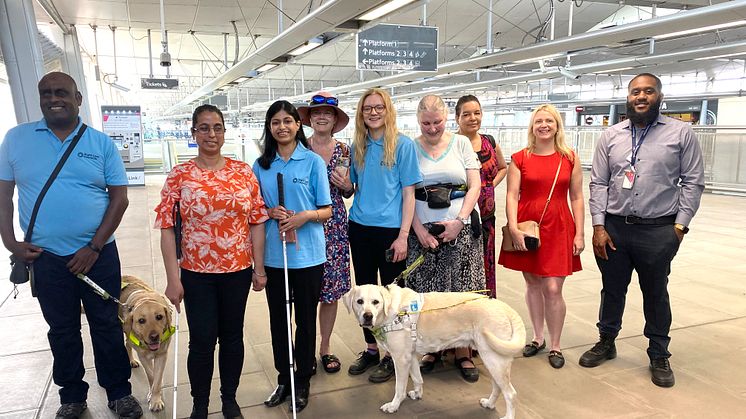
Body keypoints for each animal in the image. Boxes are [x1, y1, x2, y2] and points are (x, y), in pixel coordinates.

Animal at [120, 276, 176, 414]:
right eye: (141, 320)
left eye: (159, 317)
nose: (154, 337)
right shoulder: (144, 357)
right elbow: (151, 376)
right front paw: (153, 395)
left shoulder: (162, 355)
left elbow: (157, 378)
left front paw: (156, 399)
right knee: (128, 344)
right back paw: (131, 360)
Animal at [342, 284, 524, 418]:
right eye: (359, 301)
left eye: (376, 302)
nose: (367, 316)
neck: (392, 312)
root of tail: (506, 308)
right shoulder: (411, 357)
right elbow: (417, 378)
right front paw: (417, 394)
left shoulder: (400, 359)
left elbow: (399, 388)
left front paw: (394, 405)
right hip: (493, 361)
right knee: (498, 387)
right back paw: (490, 404)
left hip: (494, 360)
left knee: (511, 394)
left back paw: (507, 415)